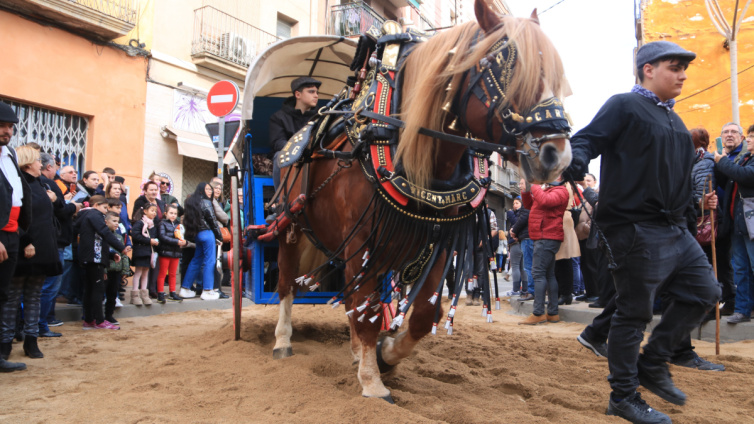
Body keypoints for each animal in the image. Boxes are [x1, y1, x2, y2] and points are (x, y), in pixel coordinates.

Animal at [268, 0, 568, 402]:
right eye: (508, 68)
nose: (558, 155)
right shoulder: (363, 240)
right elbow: (366, 311)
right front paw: (373, 381)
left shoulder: (436, 242)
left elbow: (424, 314)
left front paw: (385, 355)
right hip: (292, 224)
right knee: (287, 282)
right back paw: (283, 340)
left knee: (350, 299)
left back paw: (354, 352)